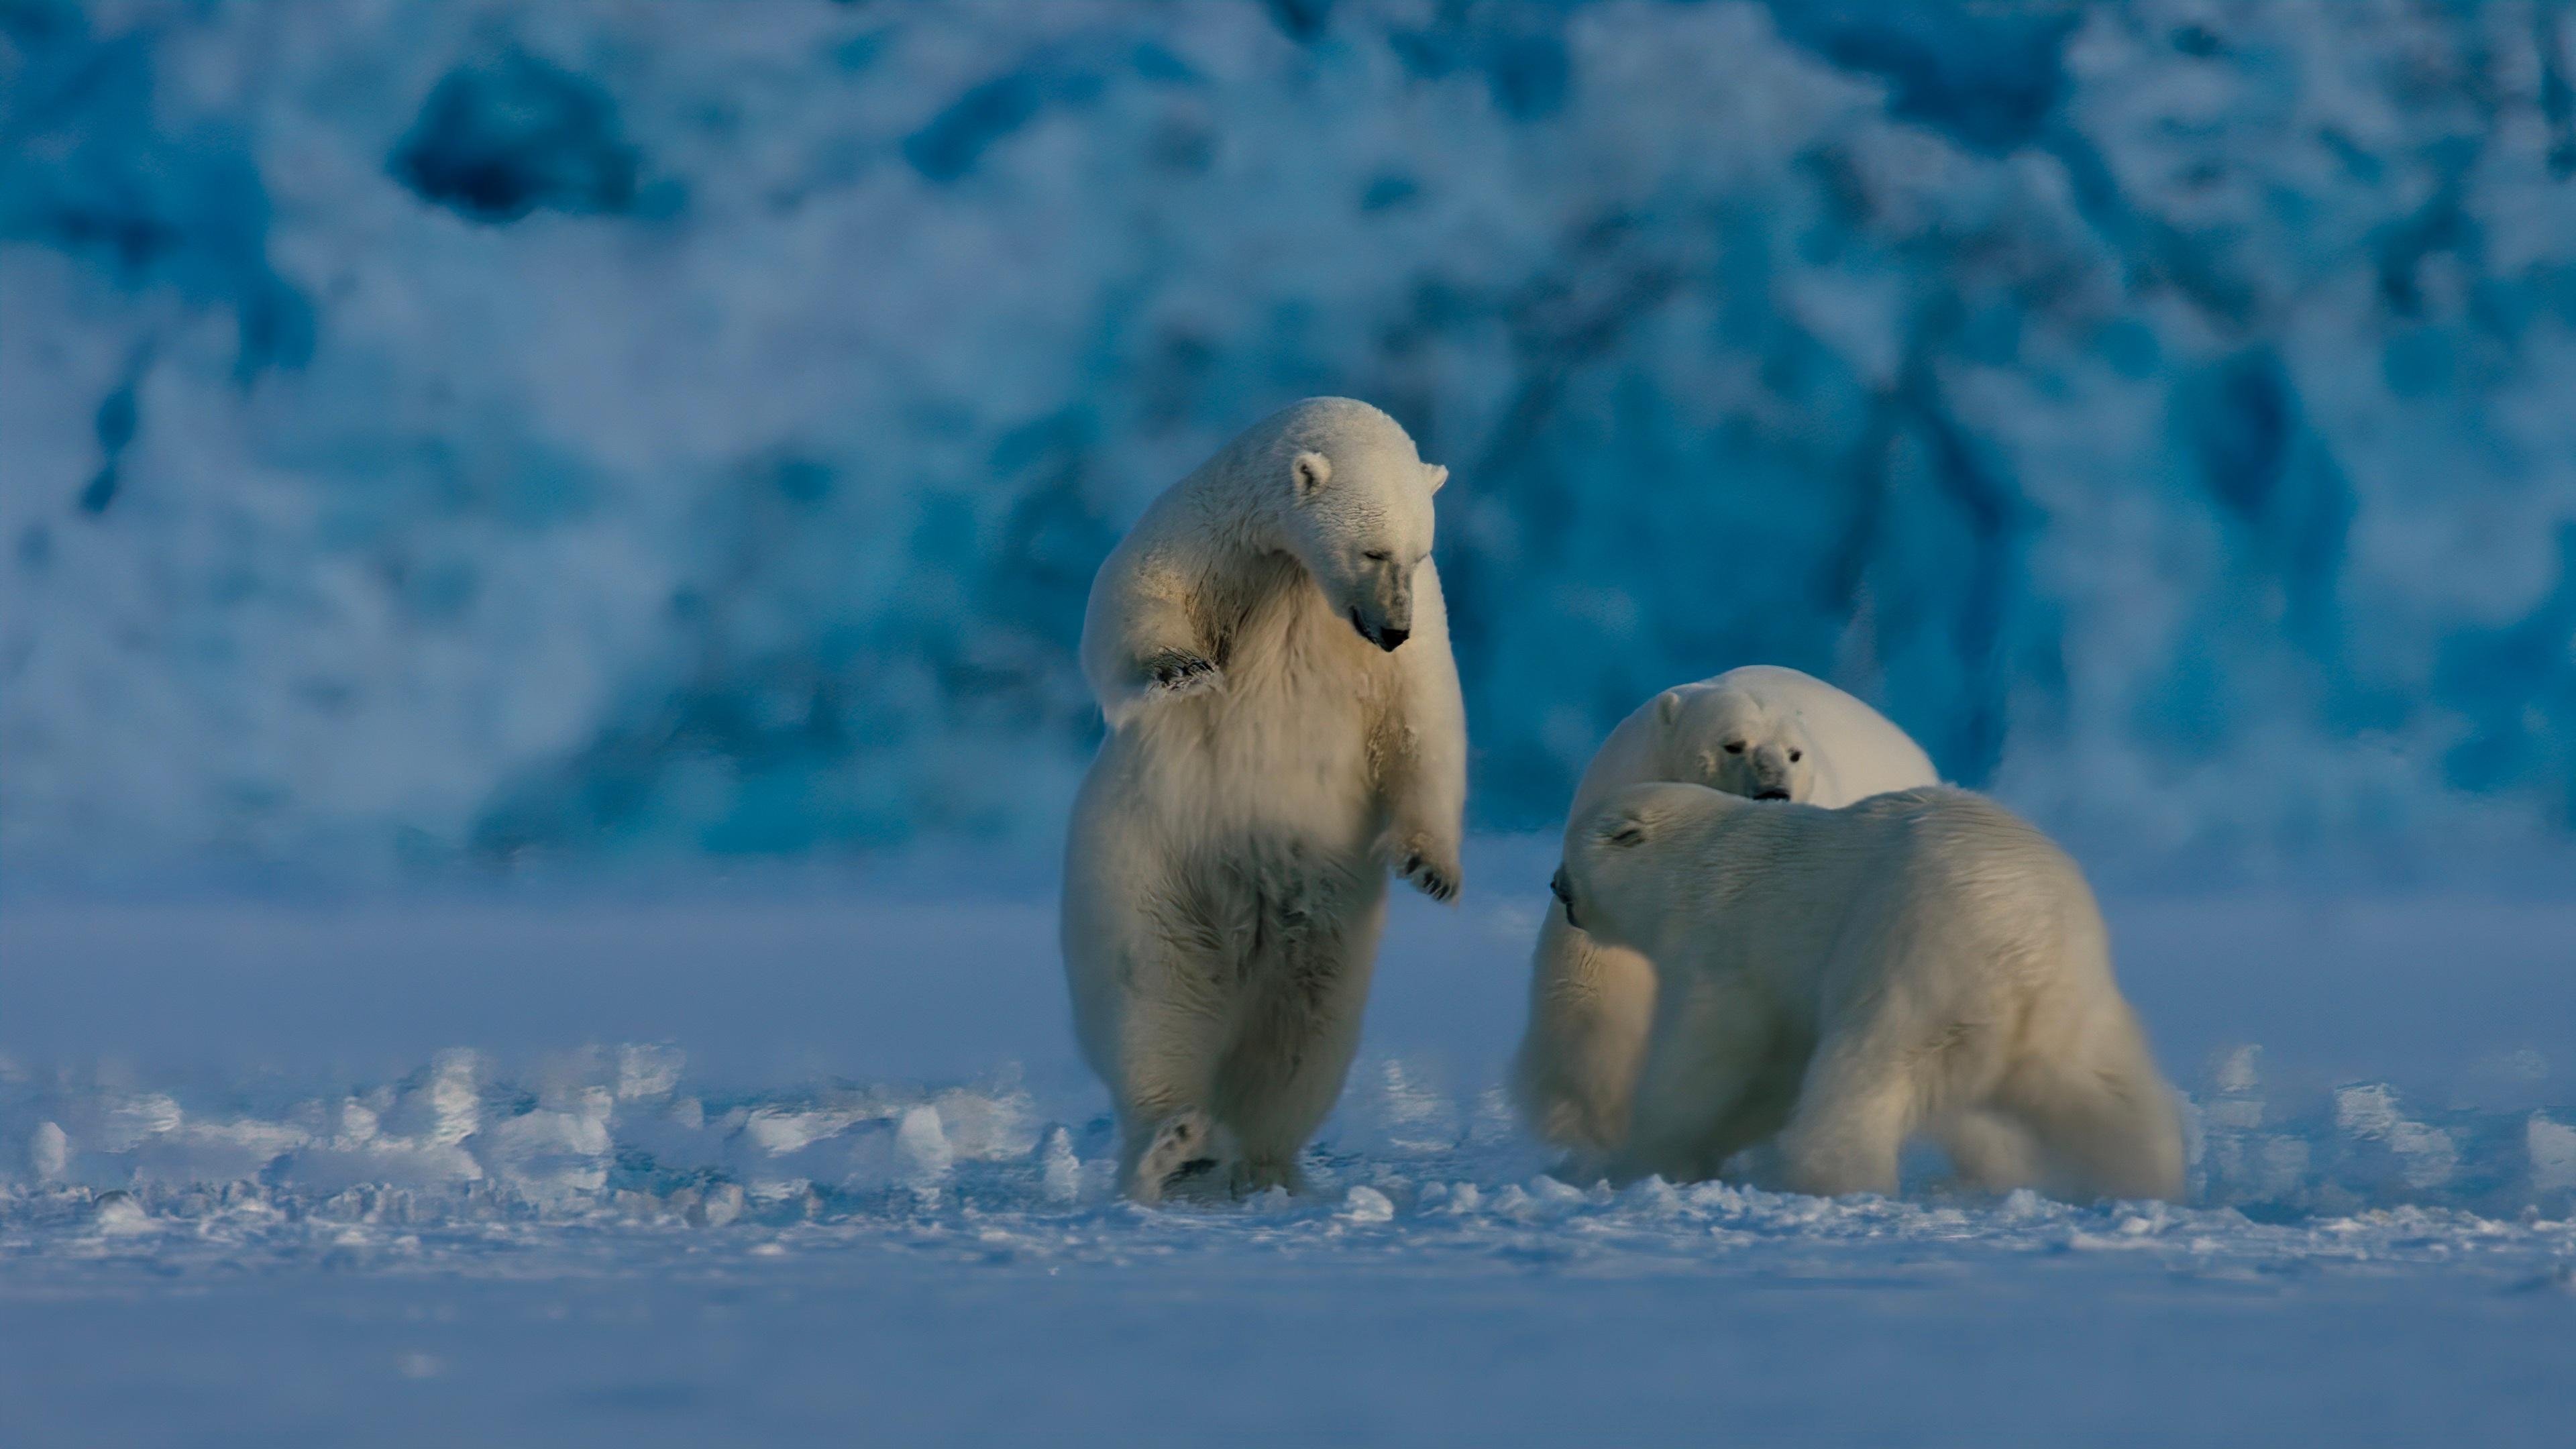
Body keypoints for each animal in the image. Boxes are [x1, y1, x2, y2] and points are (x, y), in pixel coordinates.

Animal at [1060, 397, 1467, 1204]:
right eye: (1373, 551)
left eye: (1418, 552)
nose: (1392, 629)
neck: (1292, 577)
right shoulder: (1205, 537)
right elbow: (1129, 602)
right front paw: (1182, 669)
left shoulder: (1415, 630)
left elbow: (1425, 722)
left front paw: (1432, 870)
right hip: (1148, 864)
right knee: (1152, 996)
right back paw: (1173, 1148)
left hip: (1327, 915)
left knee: (1303, 1033)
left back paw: (1258, 1164)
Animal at [1548, 781, 2185, 1202]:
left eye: (1569, 849)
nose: (1555, 885)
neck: (1698, 861)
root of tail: (2027, 948)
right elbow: (1772, 1073)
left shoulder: (1725, 945)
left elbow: (1710, 1057)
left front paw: (1638, 1158)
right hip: (2076, 1006)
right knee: (2105, 1093)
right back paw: (2146, 1176)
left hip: (1912, 953)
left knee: (1867, 1067)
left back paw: (1821, 1176)